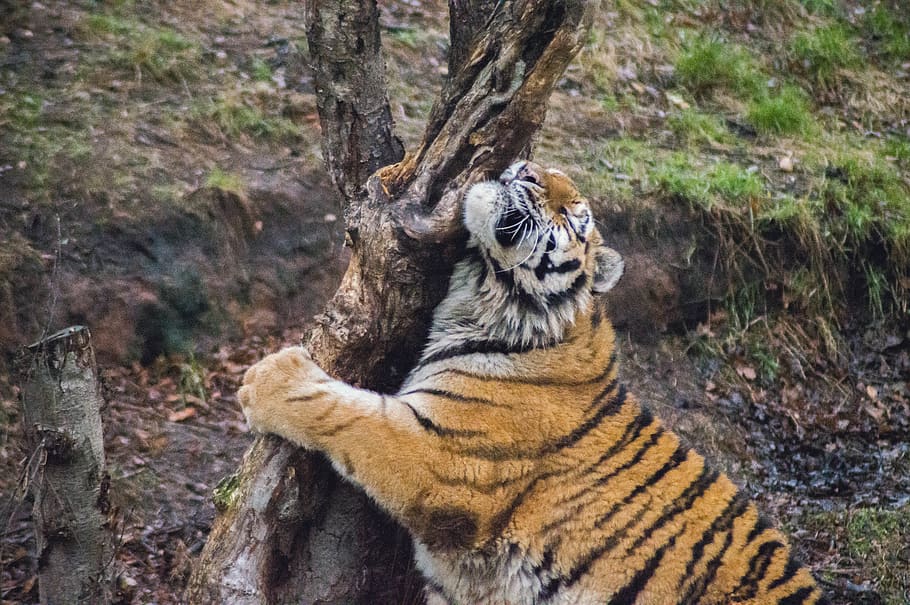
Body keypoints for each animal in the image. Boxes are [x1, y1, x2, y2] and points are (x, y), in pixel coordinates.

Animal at [239, 158, 832, 600]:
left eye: (574, 214)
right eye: (541, 170)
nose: (523, 169)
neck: (482, 298)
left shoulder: (442, 456)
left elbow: (349, 413)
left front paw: (265, 379)